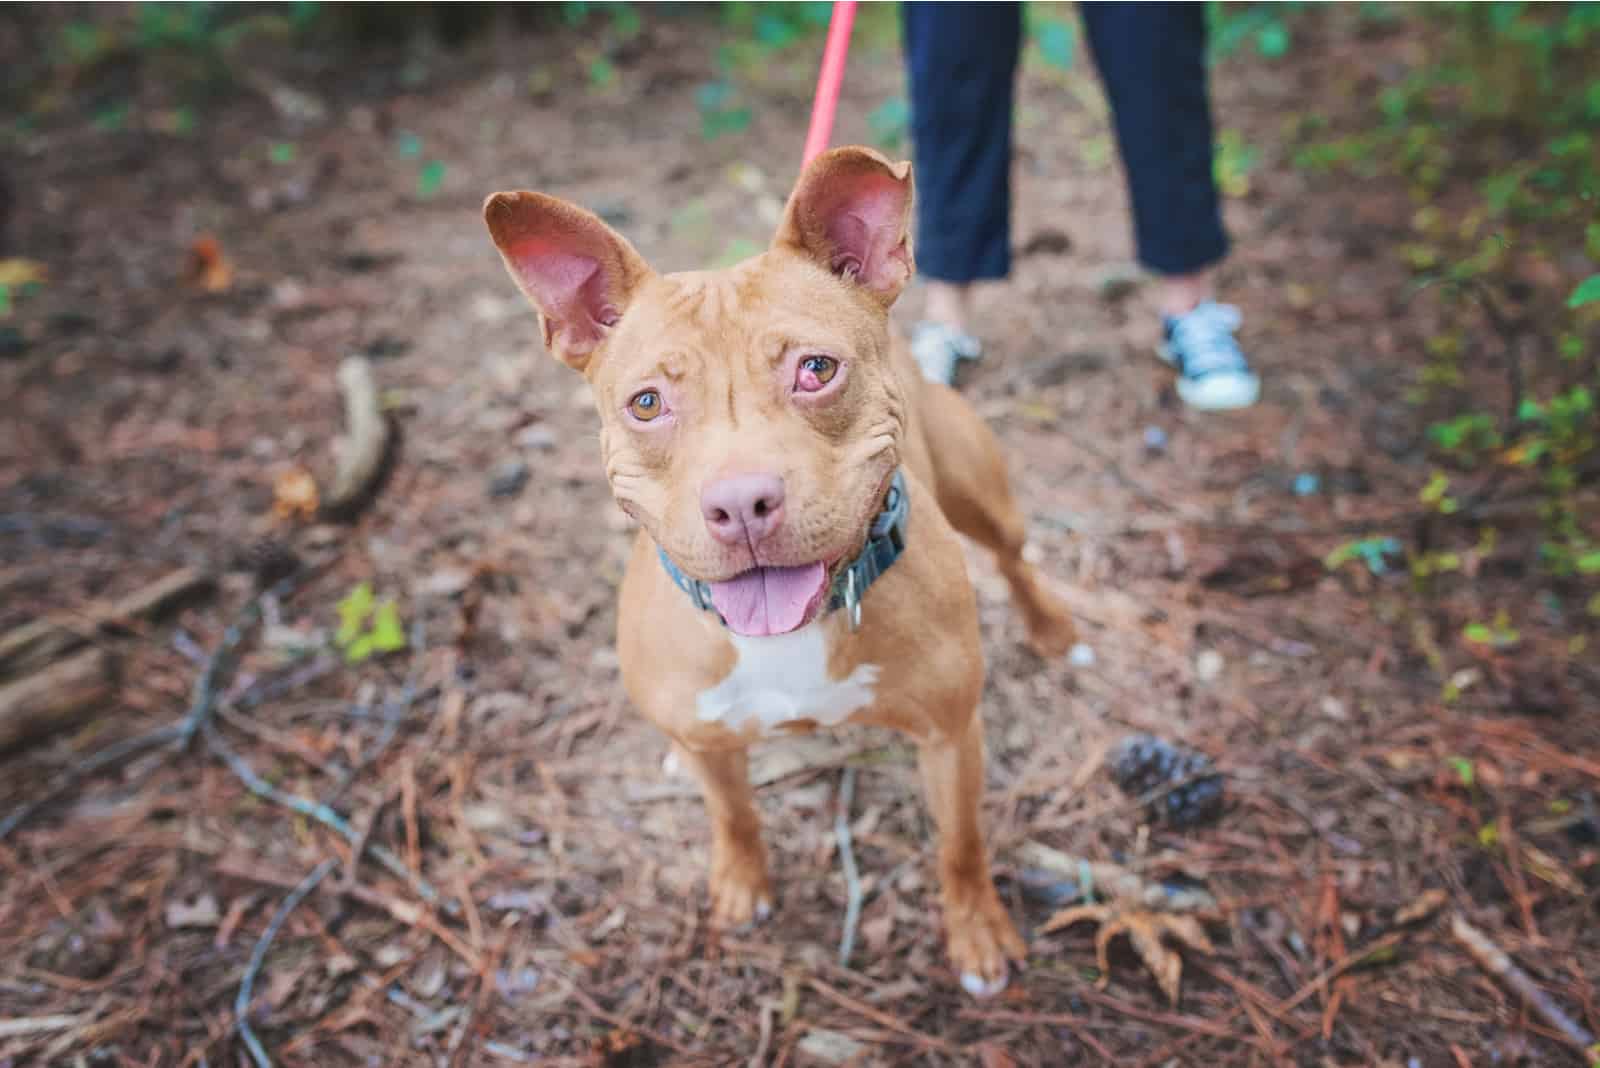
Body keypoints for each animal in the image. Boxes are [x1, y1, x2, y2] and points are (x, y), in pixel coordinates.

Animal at [483, 147, 1075, 991]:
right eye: (647, 403)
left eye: (816, 369)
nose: (741, 503)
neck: (792, 632)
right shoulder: (712, 742)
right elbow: (733, 815)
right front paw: (741, 886)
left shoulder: (951, 736)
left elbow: (960, 845)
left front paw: (978, 932)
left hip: (977, 487)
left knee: (1015, 556)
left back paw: (1054, 628)